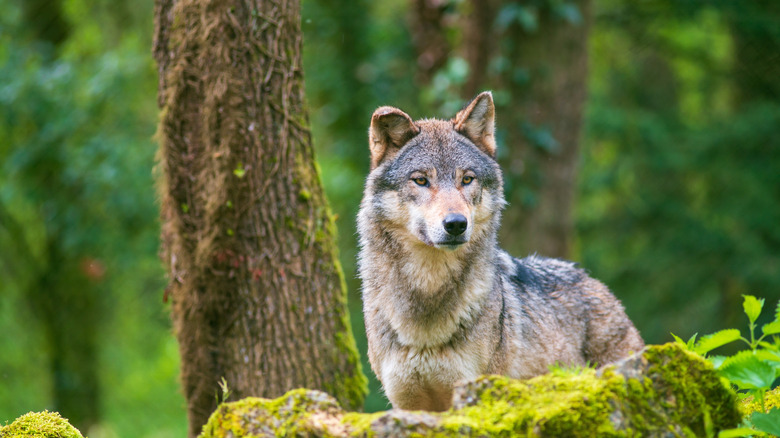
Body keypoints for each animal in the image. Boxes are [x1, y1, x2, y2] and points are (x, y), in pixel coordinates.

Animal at [357, 91, 644, 412]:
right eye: (421, 180)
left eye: (467, 179)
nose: (456, 224)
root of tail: (590, 279)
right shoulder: (408, 405)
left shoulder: (476, 392)